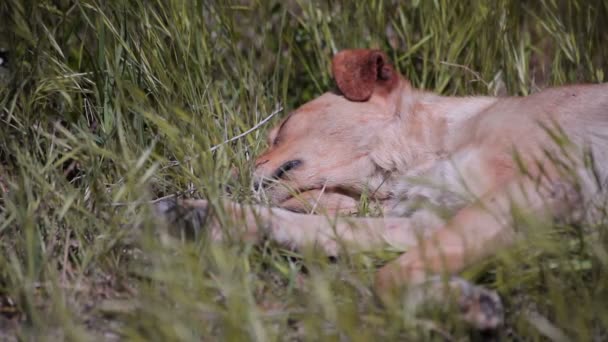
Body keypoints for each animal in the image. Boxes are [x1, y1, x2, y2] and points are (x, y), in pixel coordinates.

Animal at [154, 49, 608, 330]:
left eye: (280, 128)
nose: (224, 178)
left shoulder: (536, 185)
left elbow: (388, 277)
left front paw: (459, 304)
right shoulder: (428, 223)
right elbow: (310, 230)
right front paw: (199, 213)